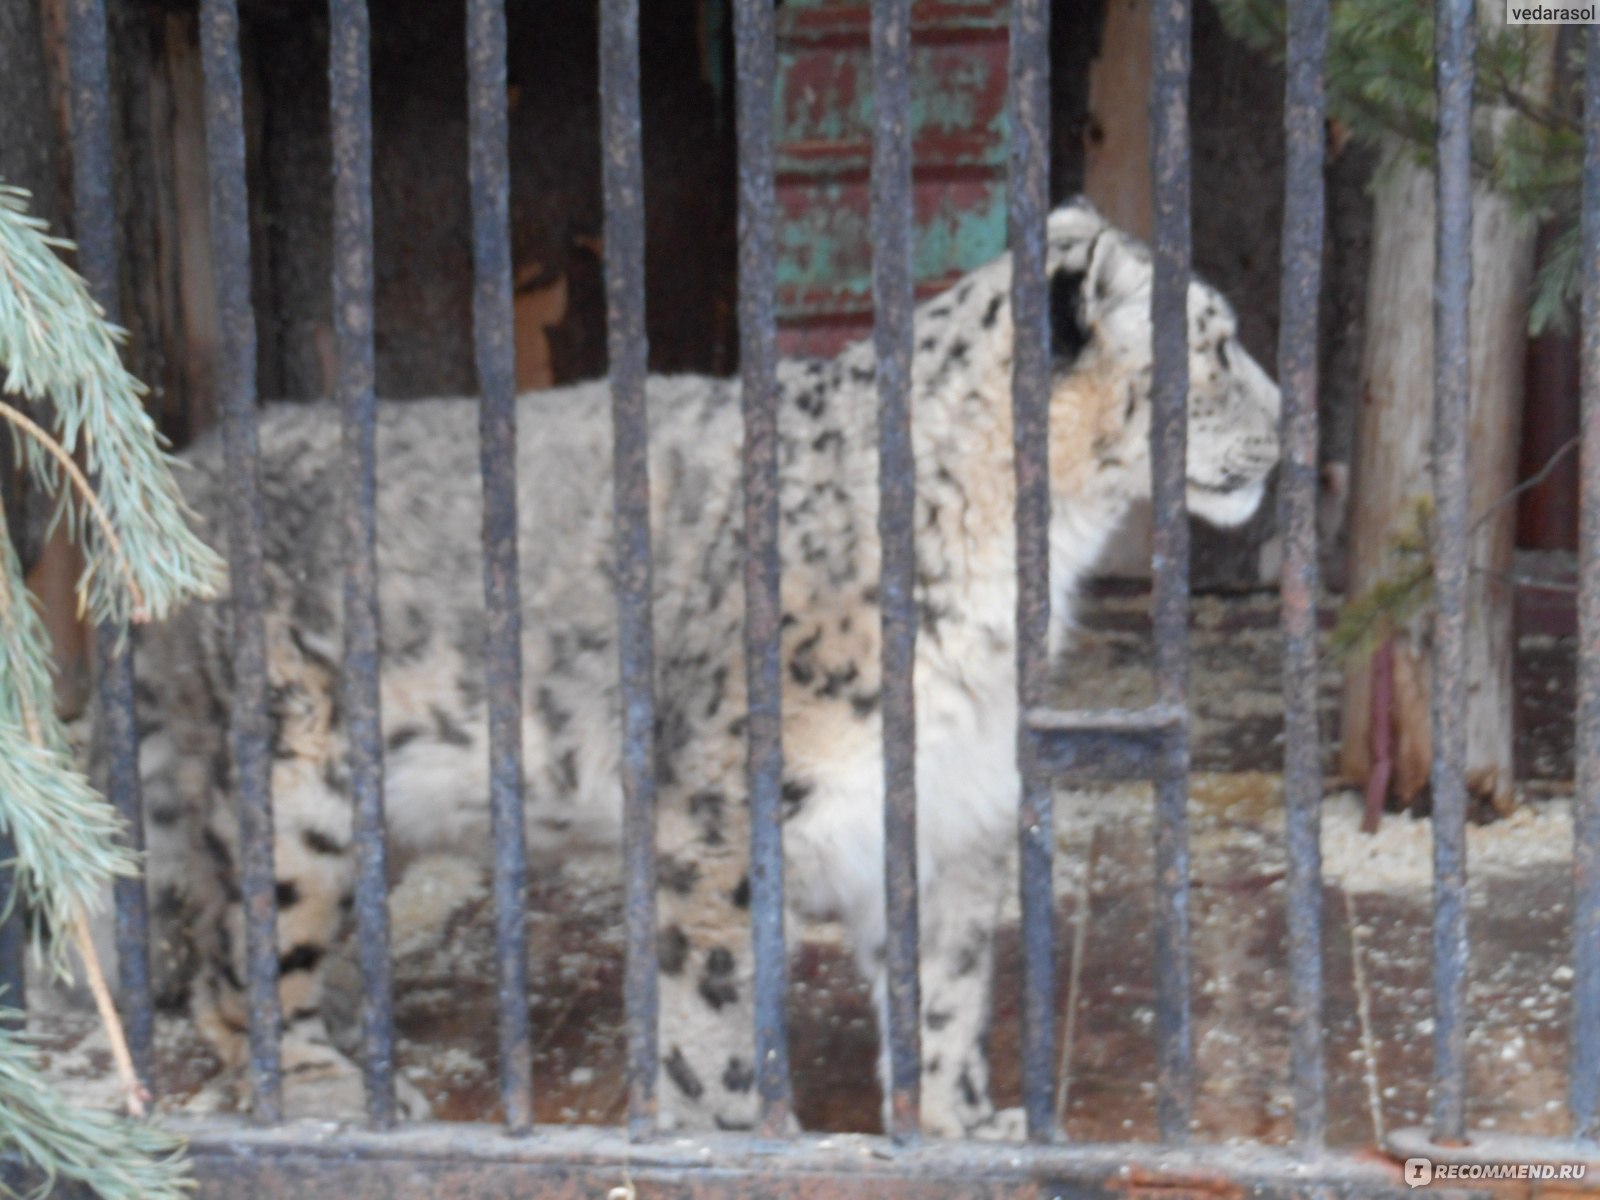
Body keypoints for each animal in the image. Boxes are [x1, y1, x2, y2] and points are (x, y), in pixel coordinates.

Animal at [121, 197, 1273, 1139]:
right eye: (1213, 347)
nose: (1284, 426)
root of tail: (183, 470)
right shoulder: (724, 814)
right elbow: (717, 1010)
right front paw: (741, 1133)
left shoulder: (948, 808)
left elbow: (943, 991)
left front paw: (962, 1126)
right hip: (291, 788)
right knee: (237, 960)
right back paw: (328, 1090)